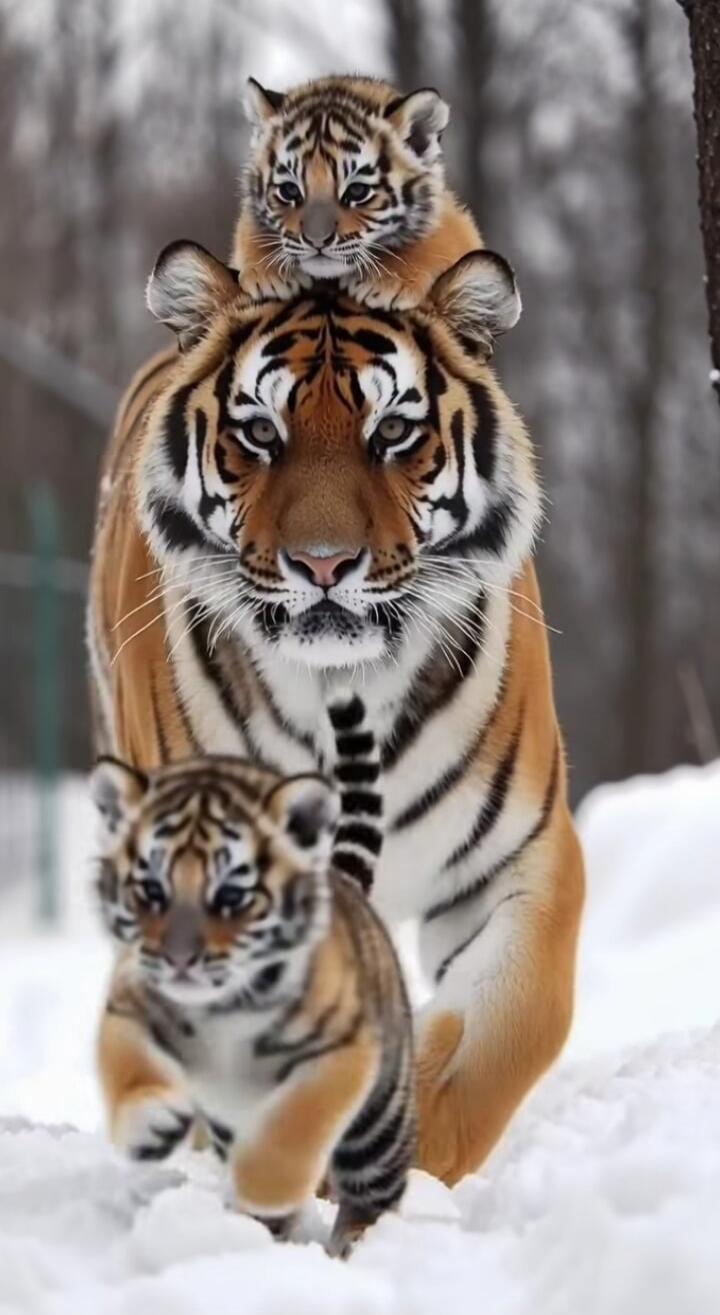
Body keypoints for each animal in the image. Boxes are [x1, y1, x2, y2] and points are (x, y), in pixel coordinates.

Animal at [93, 690, 415, 1257]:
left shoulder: (341, 1051)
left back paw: (356, 1244)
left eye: (231, 894)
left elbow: (298, 1118)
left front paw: (266, 1188)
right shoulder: (130, 1003)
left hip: (379, 1123)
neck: (220, 1007)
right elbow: (127, 1063)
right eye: (151, 889)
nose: (179, 958)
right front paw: (149, 1123)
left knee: (374, 1189)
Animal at [232, 74, 482, 310]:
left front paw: (386, 283)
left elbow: (437, 240)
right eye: (289, 190)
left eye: (357, 191)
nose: (317, 241)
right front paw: (268, 274)